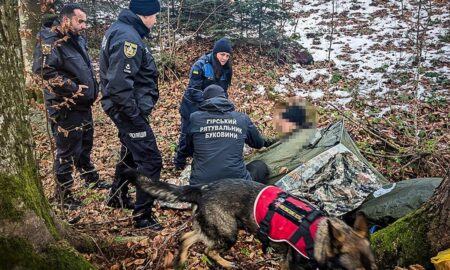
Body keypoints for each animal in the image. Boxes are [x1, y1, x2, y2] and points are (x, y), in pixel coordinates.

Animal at [130, 176, 376, 268]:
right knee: (208, 250)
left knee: (188, 237)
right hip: (228, 232)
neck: (319, 236)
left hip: (215, 228)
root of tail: (203, 189)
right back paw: (226, 263)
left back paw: (181, 260)